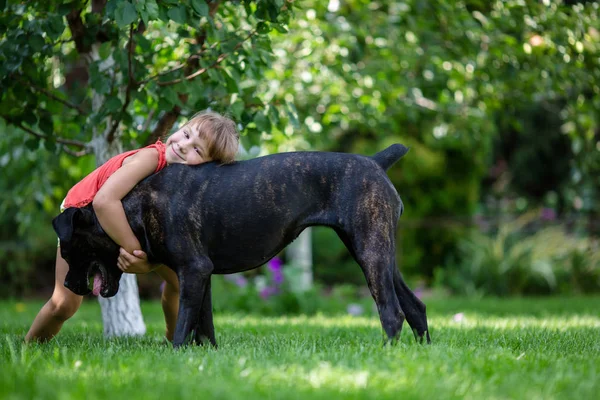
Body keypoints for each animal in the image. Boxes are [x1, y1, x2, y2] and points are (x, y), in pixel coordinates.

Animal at [54, 144, 432, 346]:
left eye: (69, 251)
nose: (69, 285)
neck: (132, 206)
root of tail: (375, 161)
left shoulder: (193, 271)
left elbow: (183, 325)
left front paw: (175, 353)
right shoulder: (201, 276)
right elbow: (203, 324)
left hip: (371, 252)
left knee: (392, 311)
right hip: (377, 253)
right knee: (414, 306)